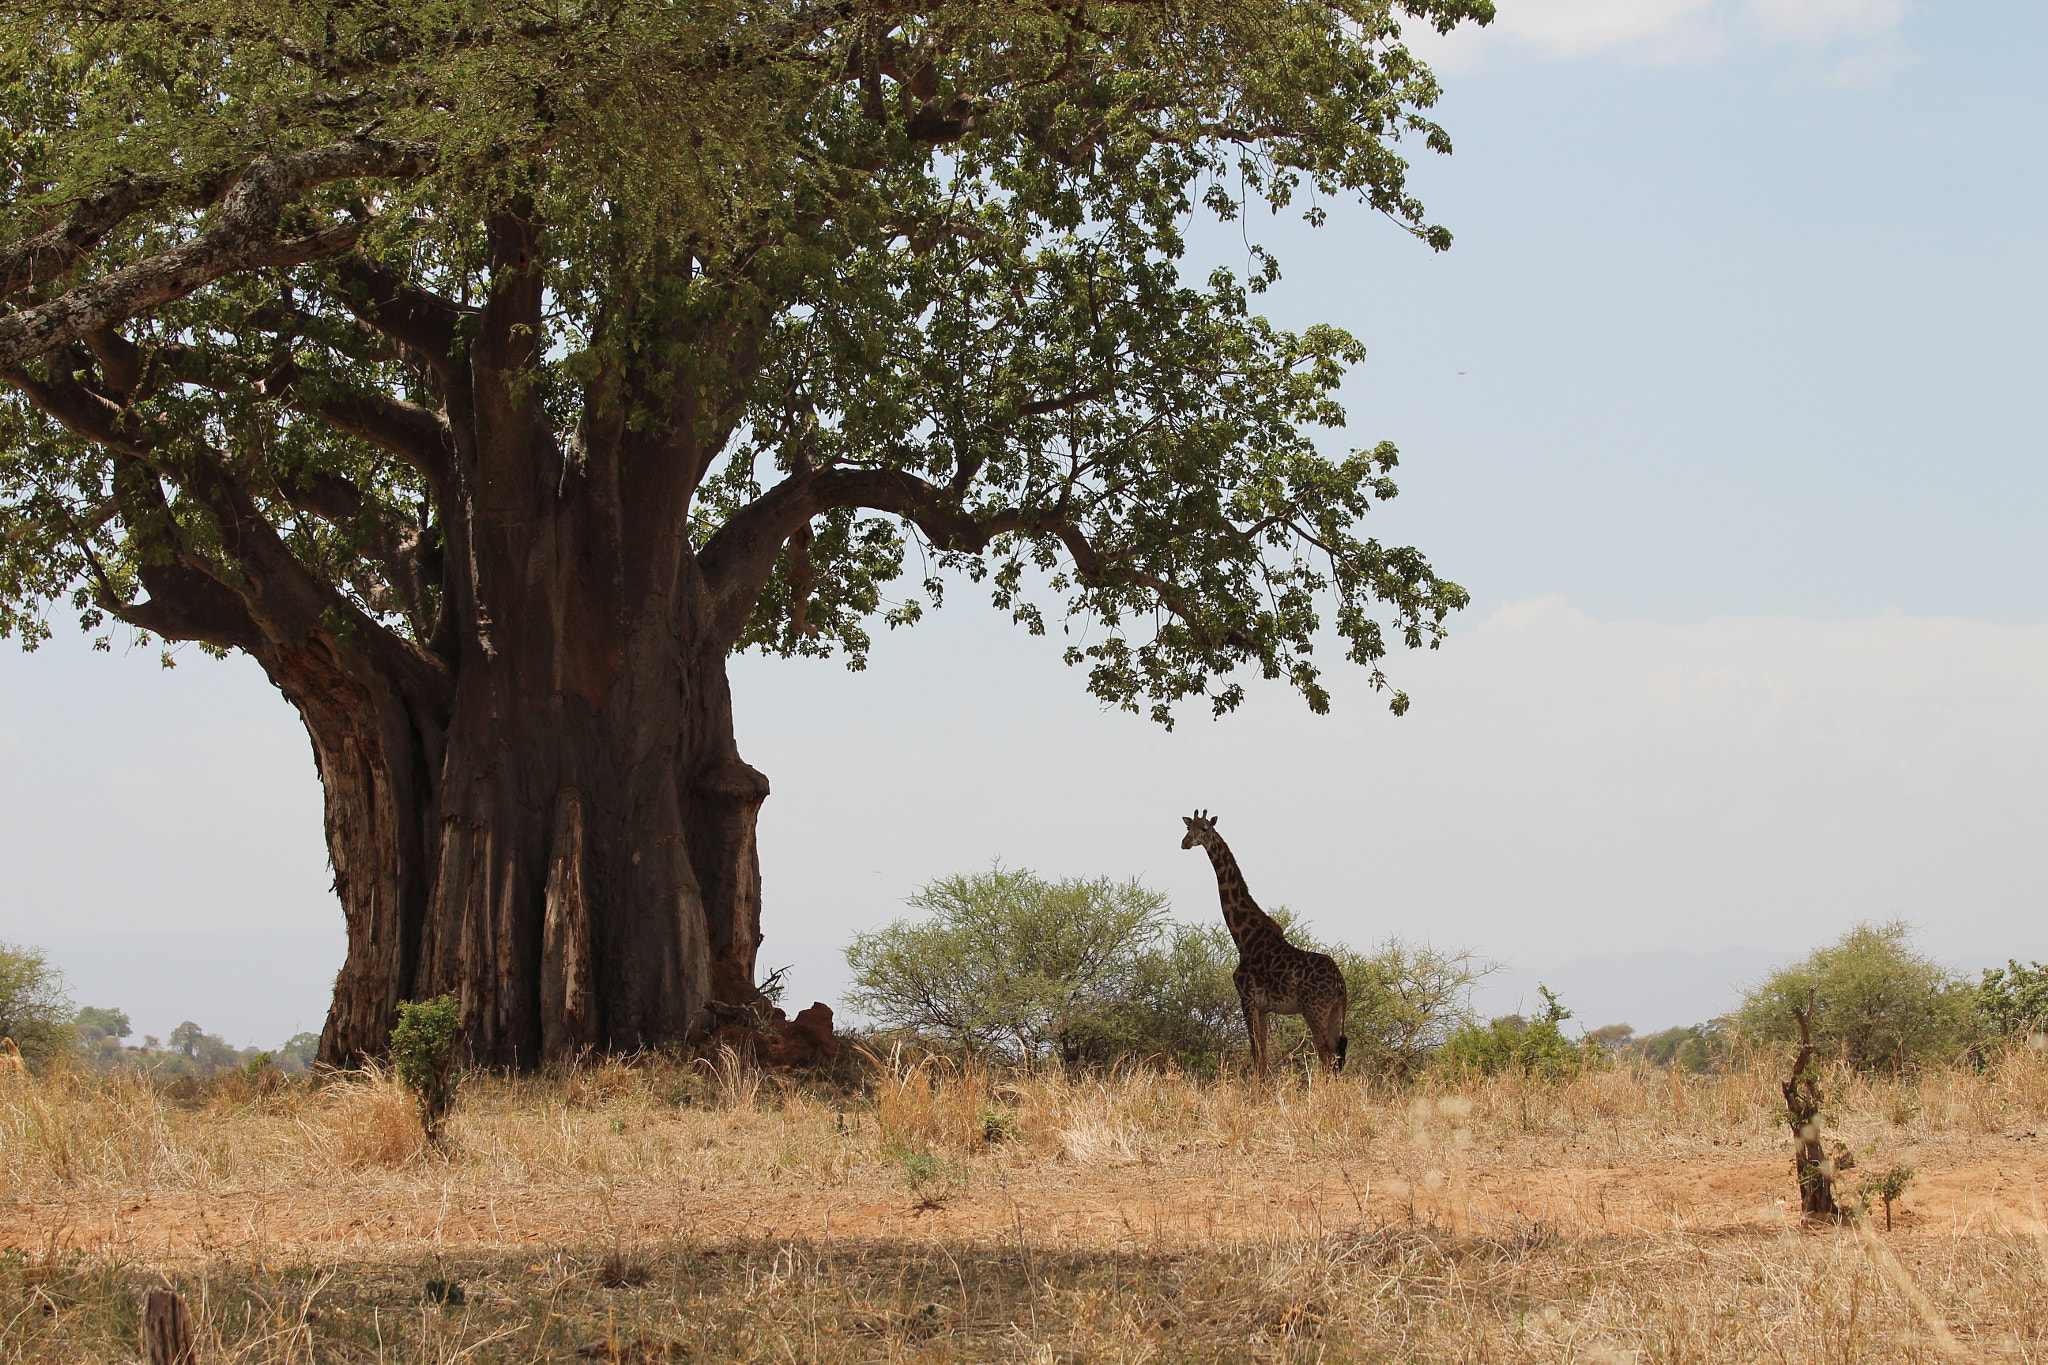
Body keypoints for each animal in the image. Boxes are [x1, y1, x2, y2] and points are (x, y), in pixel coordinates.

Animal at [1187, 810, 1343, 1080]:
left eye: (1204, 828)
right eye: (1188, 827)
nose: (1185, 843)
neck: (1243, 937)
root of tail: (1340, 982)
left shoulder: (1247, 998)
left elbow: (1256, 1053)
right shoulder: (1264, 1008)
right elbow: (1263, 1056)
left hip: (1315, 1009)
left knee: (1326, 1056)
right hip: (1334, 1012)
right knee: (1335, 1058)